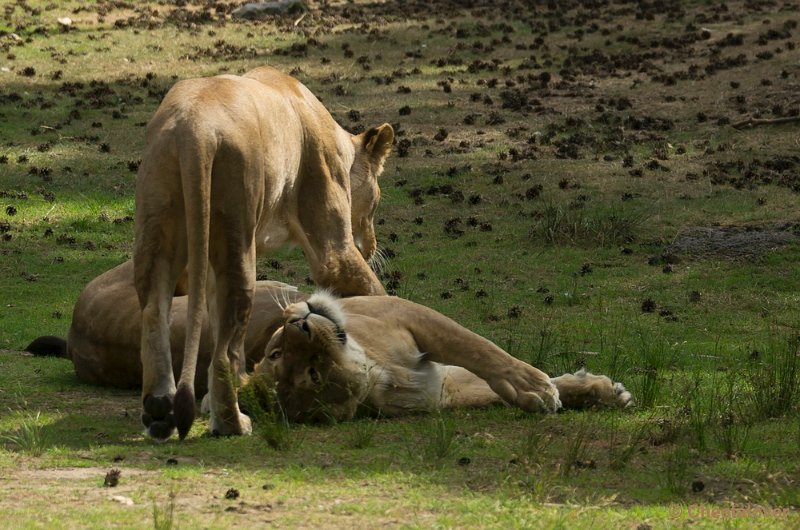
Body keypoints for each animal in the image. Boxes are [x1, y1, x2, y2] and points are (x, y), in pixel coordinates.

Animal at [29, 262, 632, 426]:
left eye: (276, 353)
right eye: (300, 371)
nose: (300, 323)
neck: (376, 371)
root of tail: (78, 335)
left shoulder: (417, 325)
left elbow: (483, 354)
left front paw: (591, 389)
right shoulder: (433, 380)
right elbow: (486, 367)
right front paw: (543, 390)